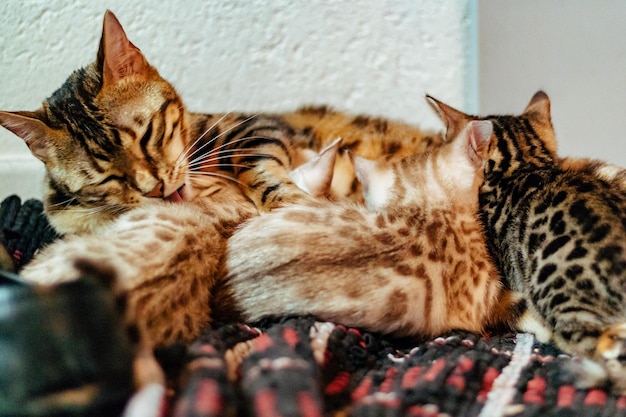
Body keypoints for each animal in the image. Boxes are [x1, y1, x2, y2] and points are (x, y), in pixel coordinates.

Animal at [0, 10, 442, 234]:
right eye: (107, 177)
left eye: (147, 136)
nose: (156, 189)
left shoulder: (257, 127)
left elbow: (255, 168)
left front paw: (289, 202)